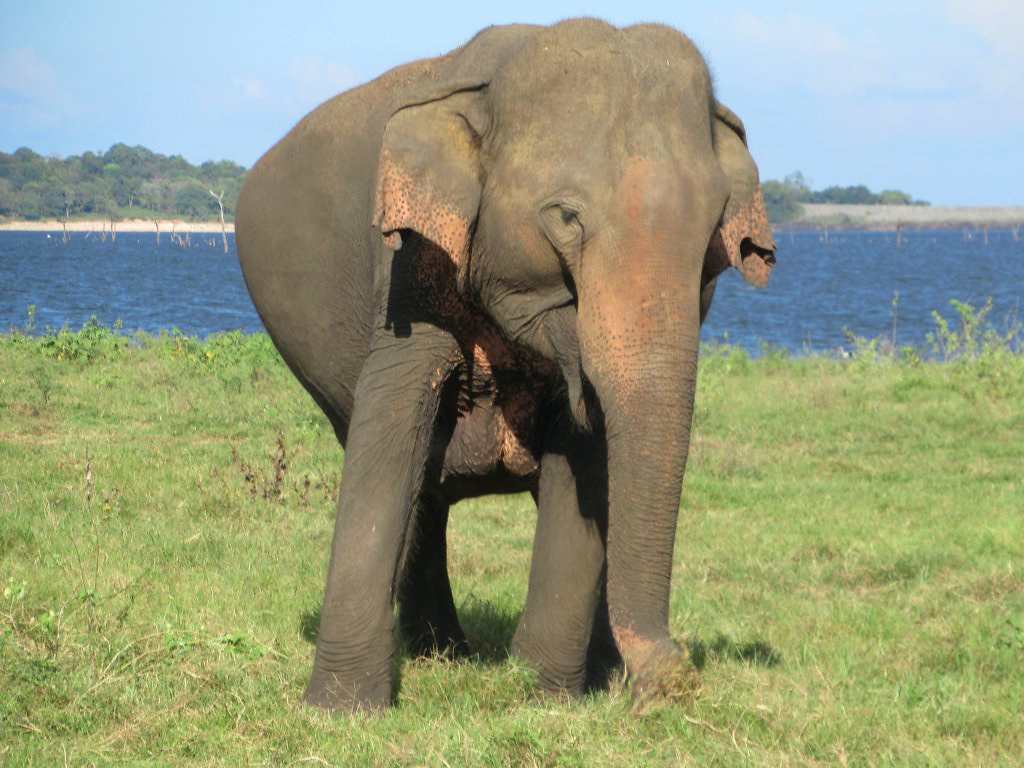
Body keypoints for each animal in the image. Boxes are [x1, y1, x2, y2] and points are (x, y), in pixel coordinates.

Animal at [235, 18, 776, 712]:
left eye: (714, 231)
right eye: (566, 217)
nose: (676, 676)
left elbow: (587, 459)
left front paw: (543, 691)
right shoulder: (409, 265)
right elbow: (387, 434)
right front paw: (342, 709)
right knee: (411, 476)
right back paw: (440, 654)